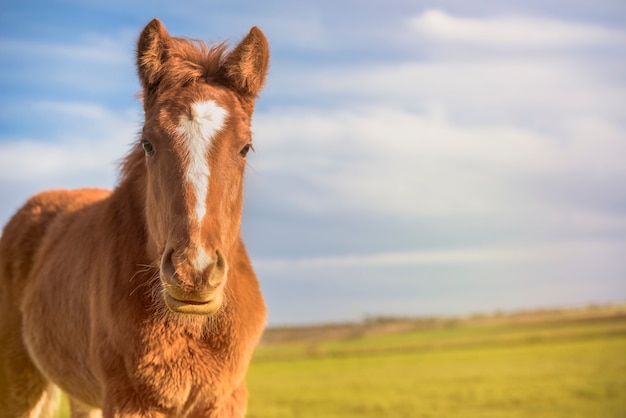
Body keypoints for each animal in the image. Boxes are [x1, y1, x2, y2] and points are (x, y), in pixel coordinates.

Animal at [0, 19, 268, 418]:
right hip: (20, 384)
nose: (194, 272)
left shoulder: (225, 400)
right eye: (148, 143)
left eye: (245, 147)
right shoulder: (130, 401)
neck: (190, 326)